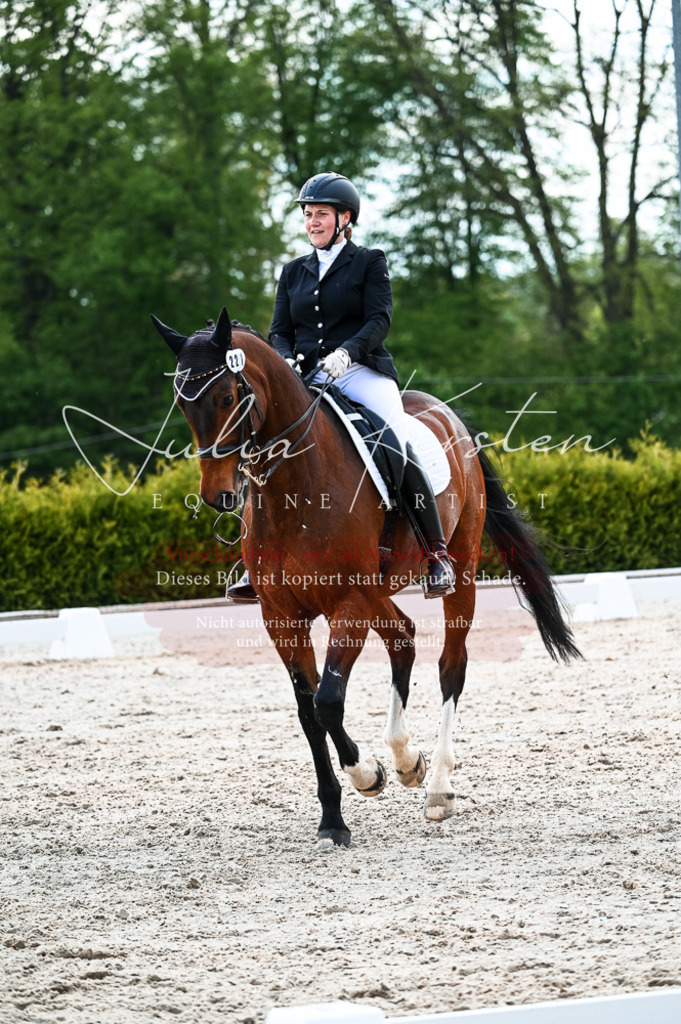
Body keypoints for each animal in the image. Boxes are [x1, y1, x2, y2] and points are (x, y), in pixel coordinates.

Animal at [151, 306, 581, 848]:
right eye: (182, 404)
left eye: (228, 397)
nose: (219, 496)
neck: (295, 488)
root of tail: (447, 416)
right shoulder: (282, 616)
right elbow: (308, 711)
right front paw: (334, 818)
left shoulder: (347, 605)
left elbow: (328, 700)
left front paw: (367, 775)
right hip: (379, 591)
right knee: (403, 639)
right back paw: (406, 759)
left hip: (458, 572)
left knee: (451, 666)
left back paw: (437, 787)